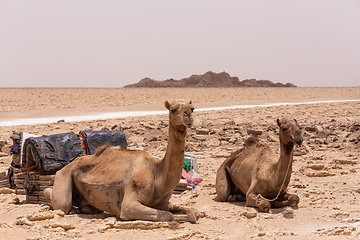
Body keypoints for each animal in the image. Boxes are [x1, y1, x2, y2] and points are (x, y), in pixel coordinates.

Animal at [44, 100, 200, 223]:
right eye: (172, 109)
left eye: (192, 108)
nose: (188, 115)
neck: (157, 173)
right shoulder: (129, 205)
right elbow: (168, 215)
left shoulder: (162, 203)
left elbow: (193, 213)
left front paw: (189, 215)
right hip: (64, 175)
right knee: (62, 204)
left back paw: (87, 208)